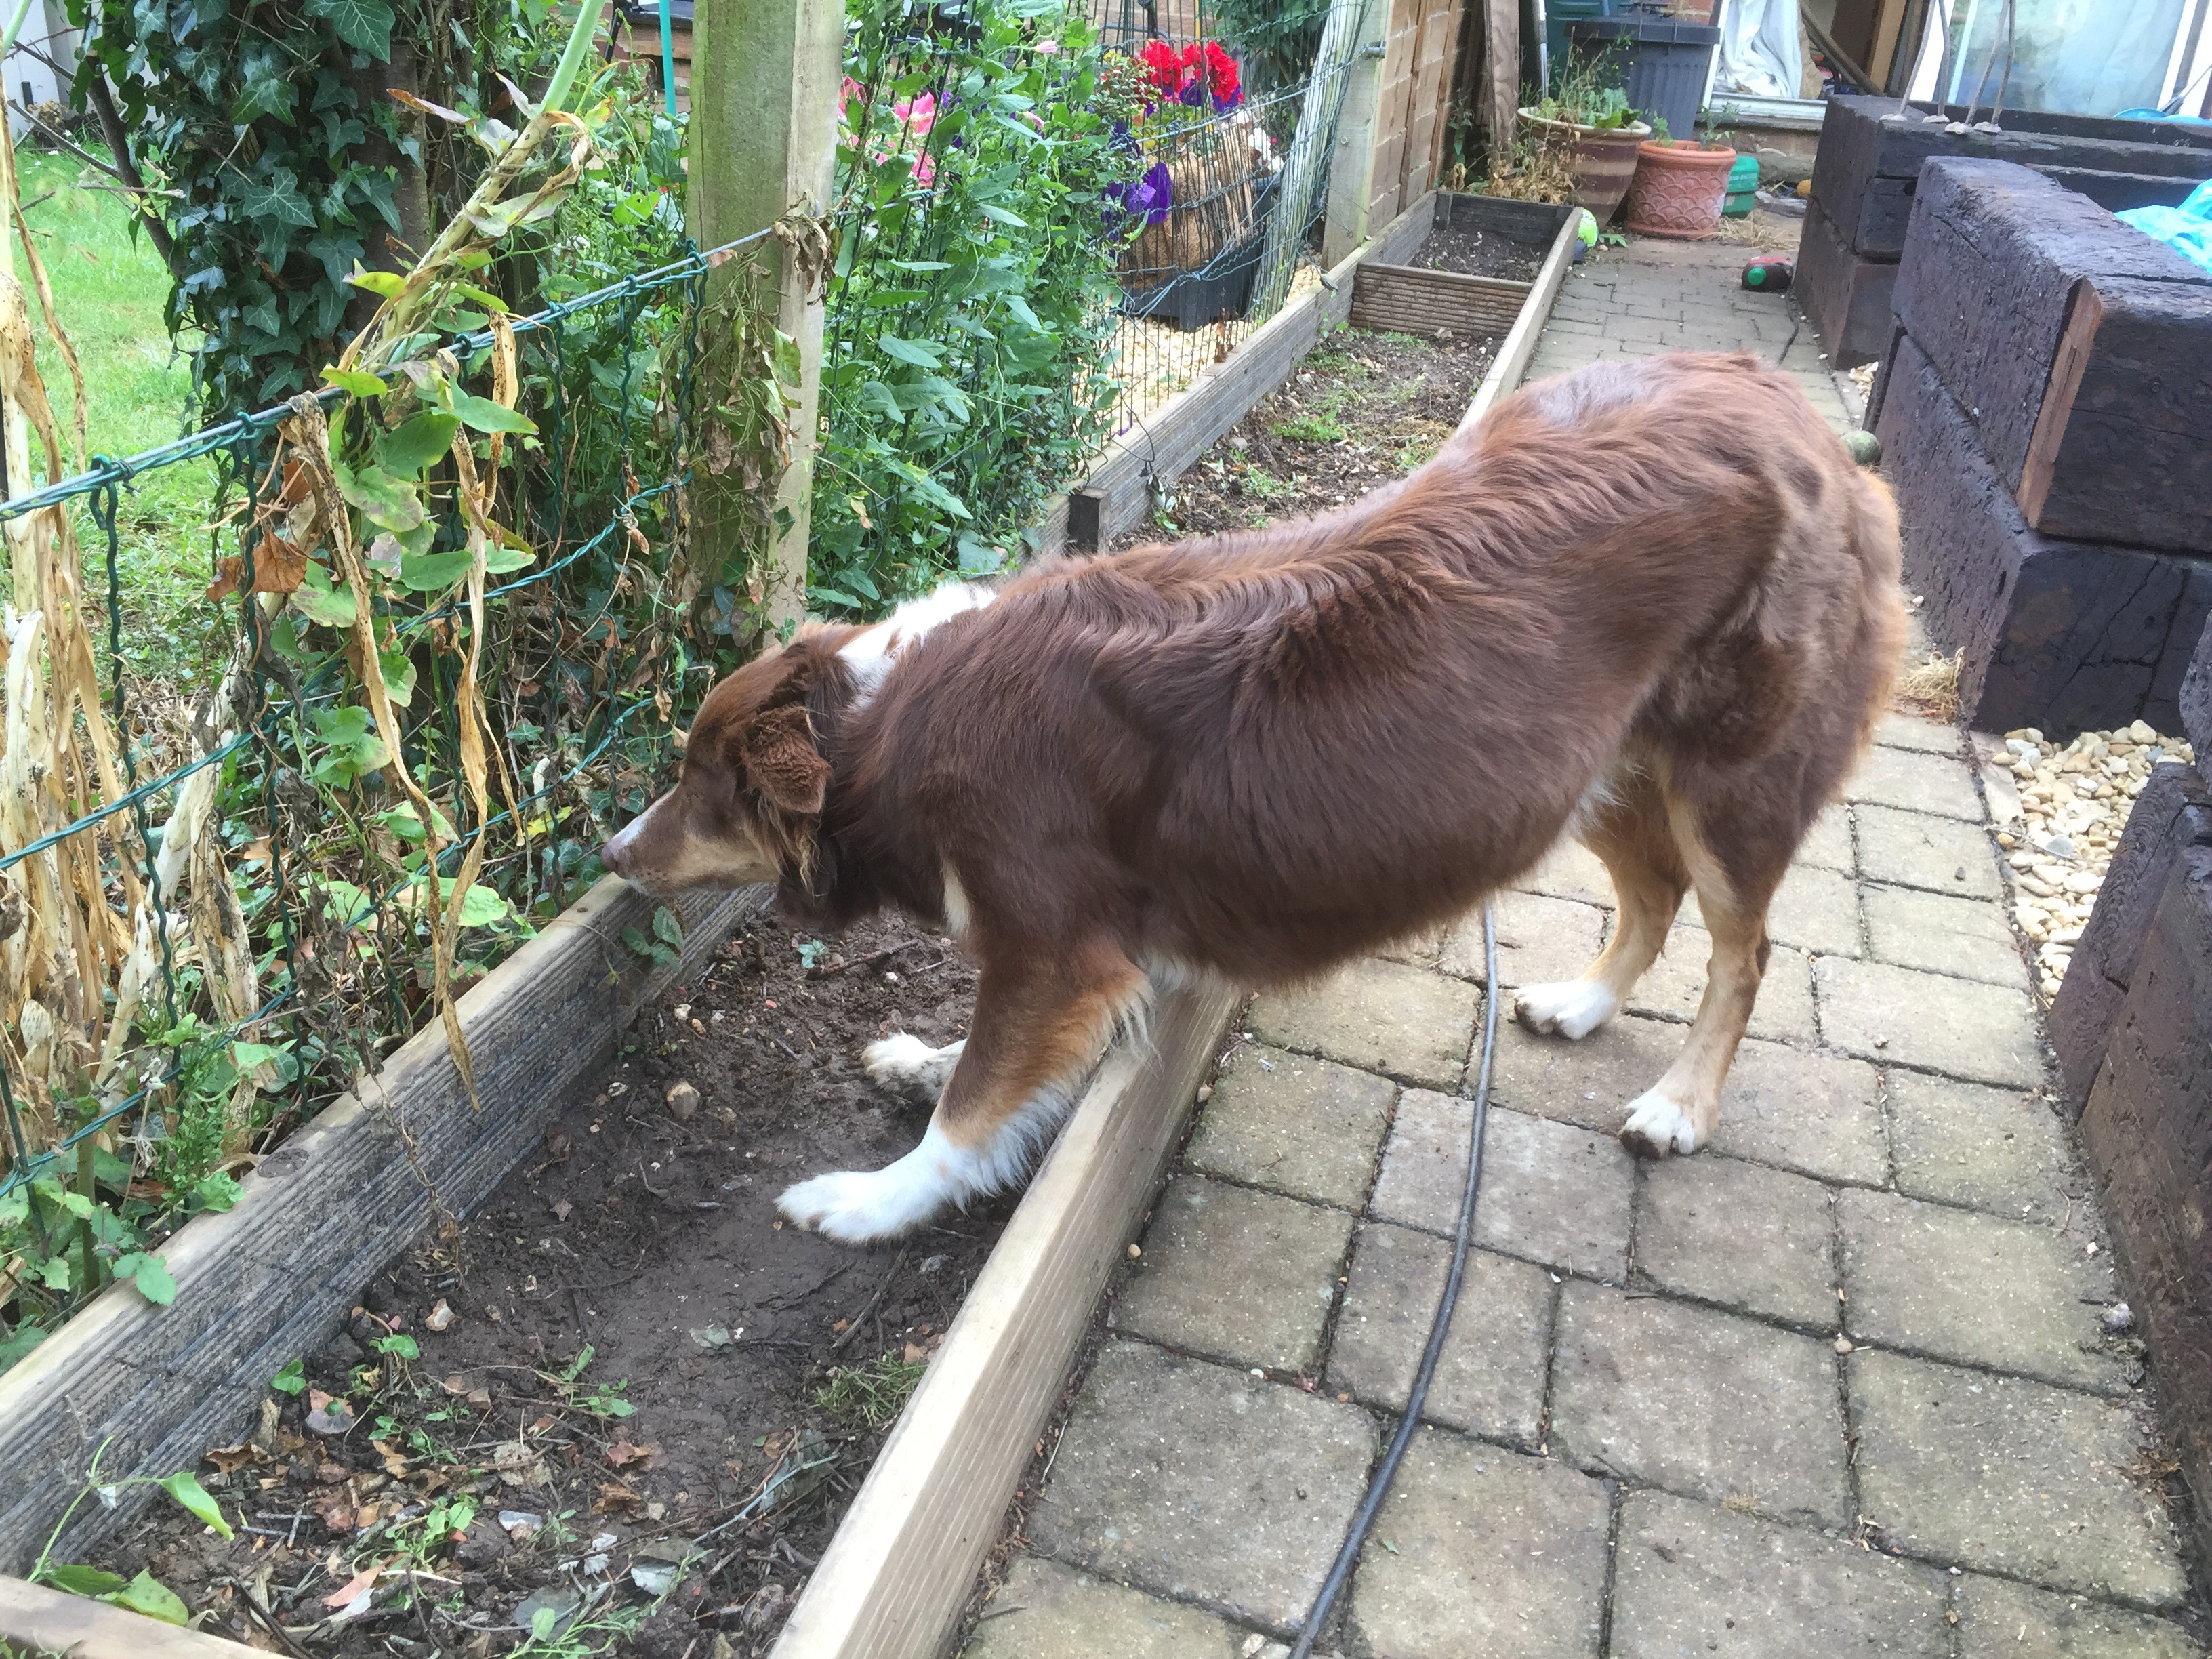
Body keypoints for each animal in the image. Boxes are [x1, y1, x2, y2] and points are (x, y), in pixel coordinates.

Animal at [601, 354, 1902, 1247]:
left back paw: (1679, 1104)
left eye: (701, 787)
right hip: (1597, 768)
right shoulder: (1063, 960)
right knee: (1654, 894)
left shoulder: (1057, 949)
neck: (881, 721)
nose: (612, 852)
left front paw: (869, 1199)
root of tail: (1798, 411)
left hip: (1731, 780)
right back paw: (1583, 1002)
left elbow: (971, 1112)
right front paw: (928, 1055)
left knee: (1743, 949)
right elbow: (987, 1060)